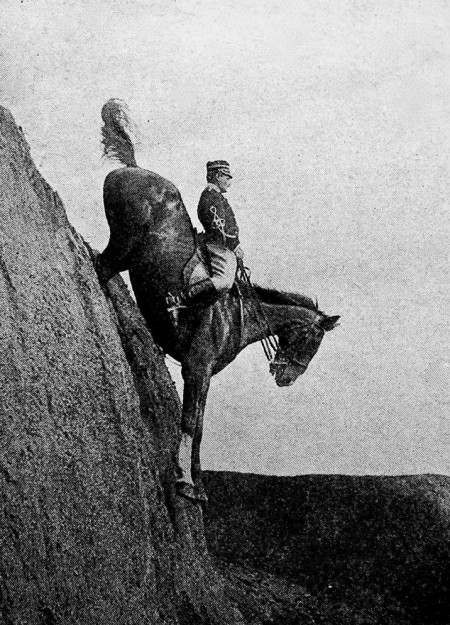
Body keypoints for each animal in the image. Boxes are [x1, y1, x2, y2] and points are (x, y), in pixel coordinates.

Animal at [96, 101, 340, 502]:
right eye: (313, 340)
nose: (287, 378)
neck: (237, 314)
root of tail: (133, 168)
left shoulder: (206, 373)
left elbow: (200, 428)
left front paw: (197, 484)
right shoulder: (196, 366)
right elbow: (189, 422)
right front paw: (183, 480)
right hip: (123, 243)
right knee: (99, 266)